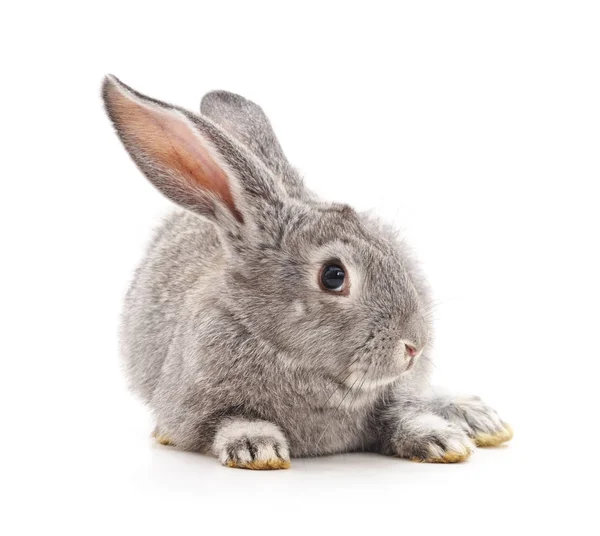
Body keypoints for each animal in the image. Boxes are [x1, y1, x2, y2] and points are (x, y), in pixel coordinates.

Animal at [102, 75, 510, 468]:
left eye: (390, 251)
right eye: (333, 276)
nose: (414, 345)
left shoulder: (395, 396)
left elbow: (404, 413)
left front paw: (442, 440)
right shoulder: (193, 409)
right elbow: (230, 421)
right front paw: (257, 448)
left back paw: (478, 418)